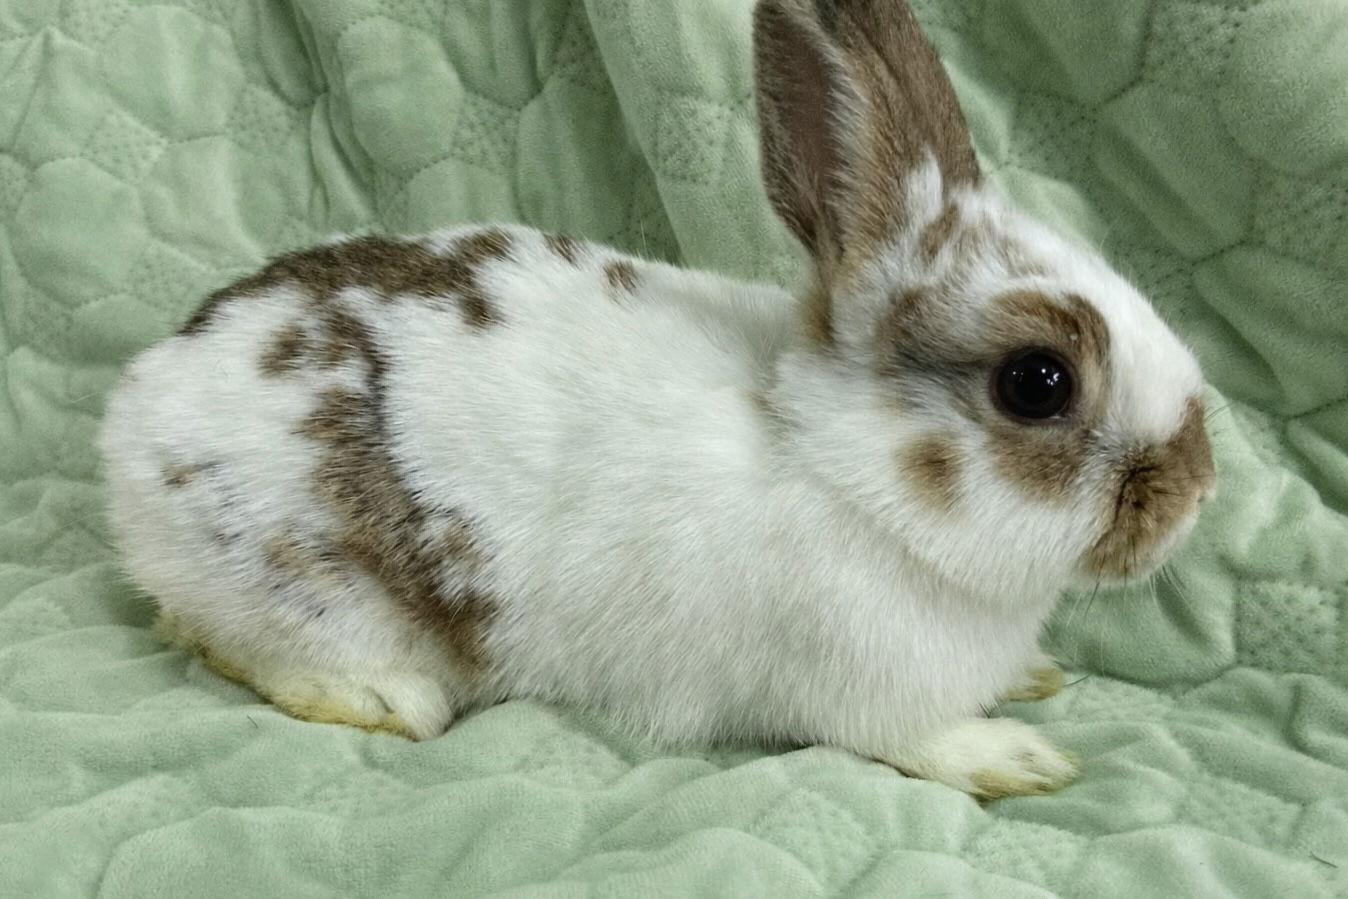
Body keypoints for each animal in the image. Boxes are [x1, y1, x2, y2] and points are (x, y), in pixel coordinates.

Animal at [98, 0, 1215, 800]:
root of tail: (135, 408)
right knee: (230, 639)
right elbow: (914, 741)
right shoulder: (860, 690)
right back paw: (383, 694)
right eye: (1037, 382)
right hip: (307, 584)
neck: (843, 470)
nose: (1198, 488)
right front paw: (1017, 756)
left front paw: (1031, 675)